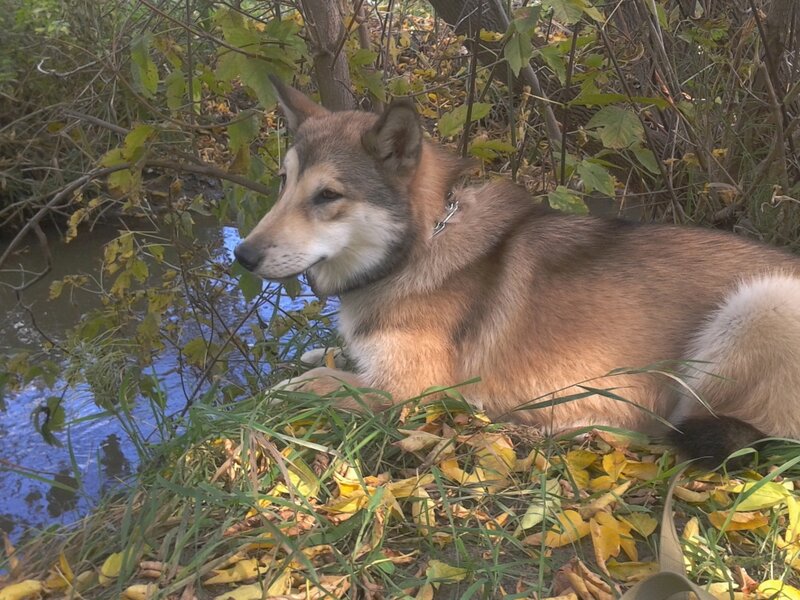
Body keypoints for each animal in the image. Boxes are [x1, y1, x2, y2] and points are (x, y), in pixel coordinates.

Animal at [234, 76, 800, 466]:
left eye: (328, 195)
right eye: (282, 181)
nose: (242, 256)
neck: (422, 245)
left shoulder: (408, 393)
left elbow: (312, 383)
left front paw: (288, 384)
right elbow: (328, 357)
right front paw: (319, 351)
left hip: (762, 305)